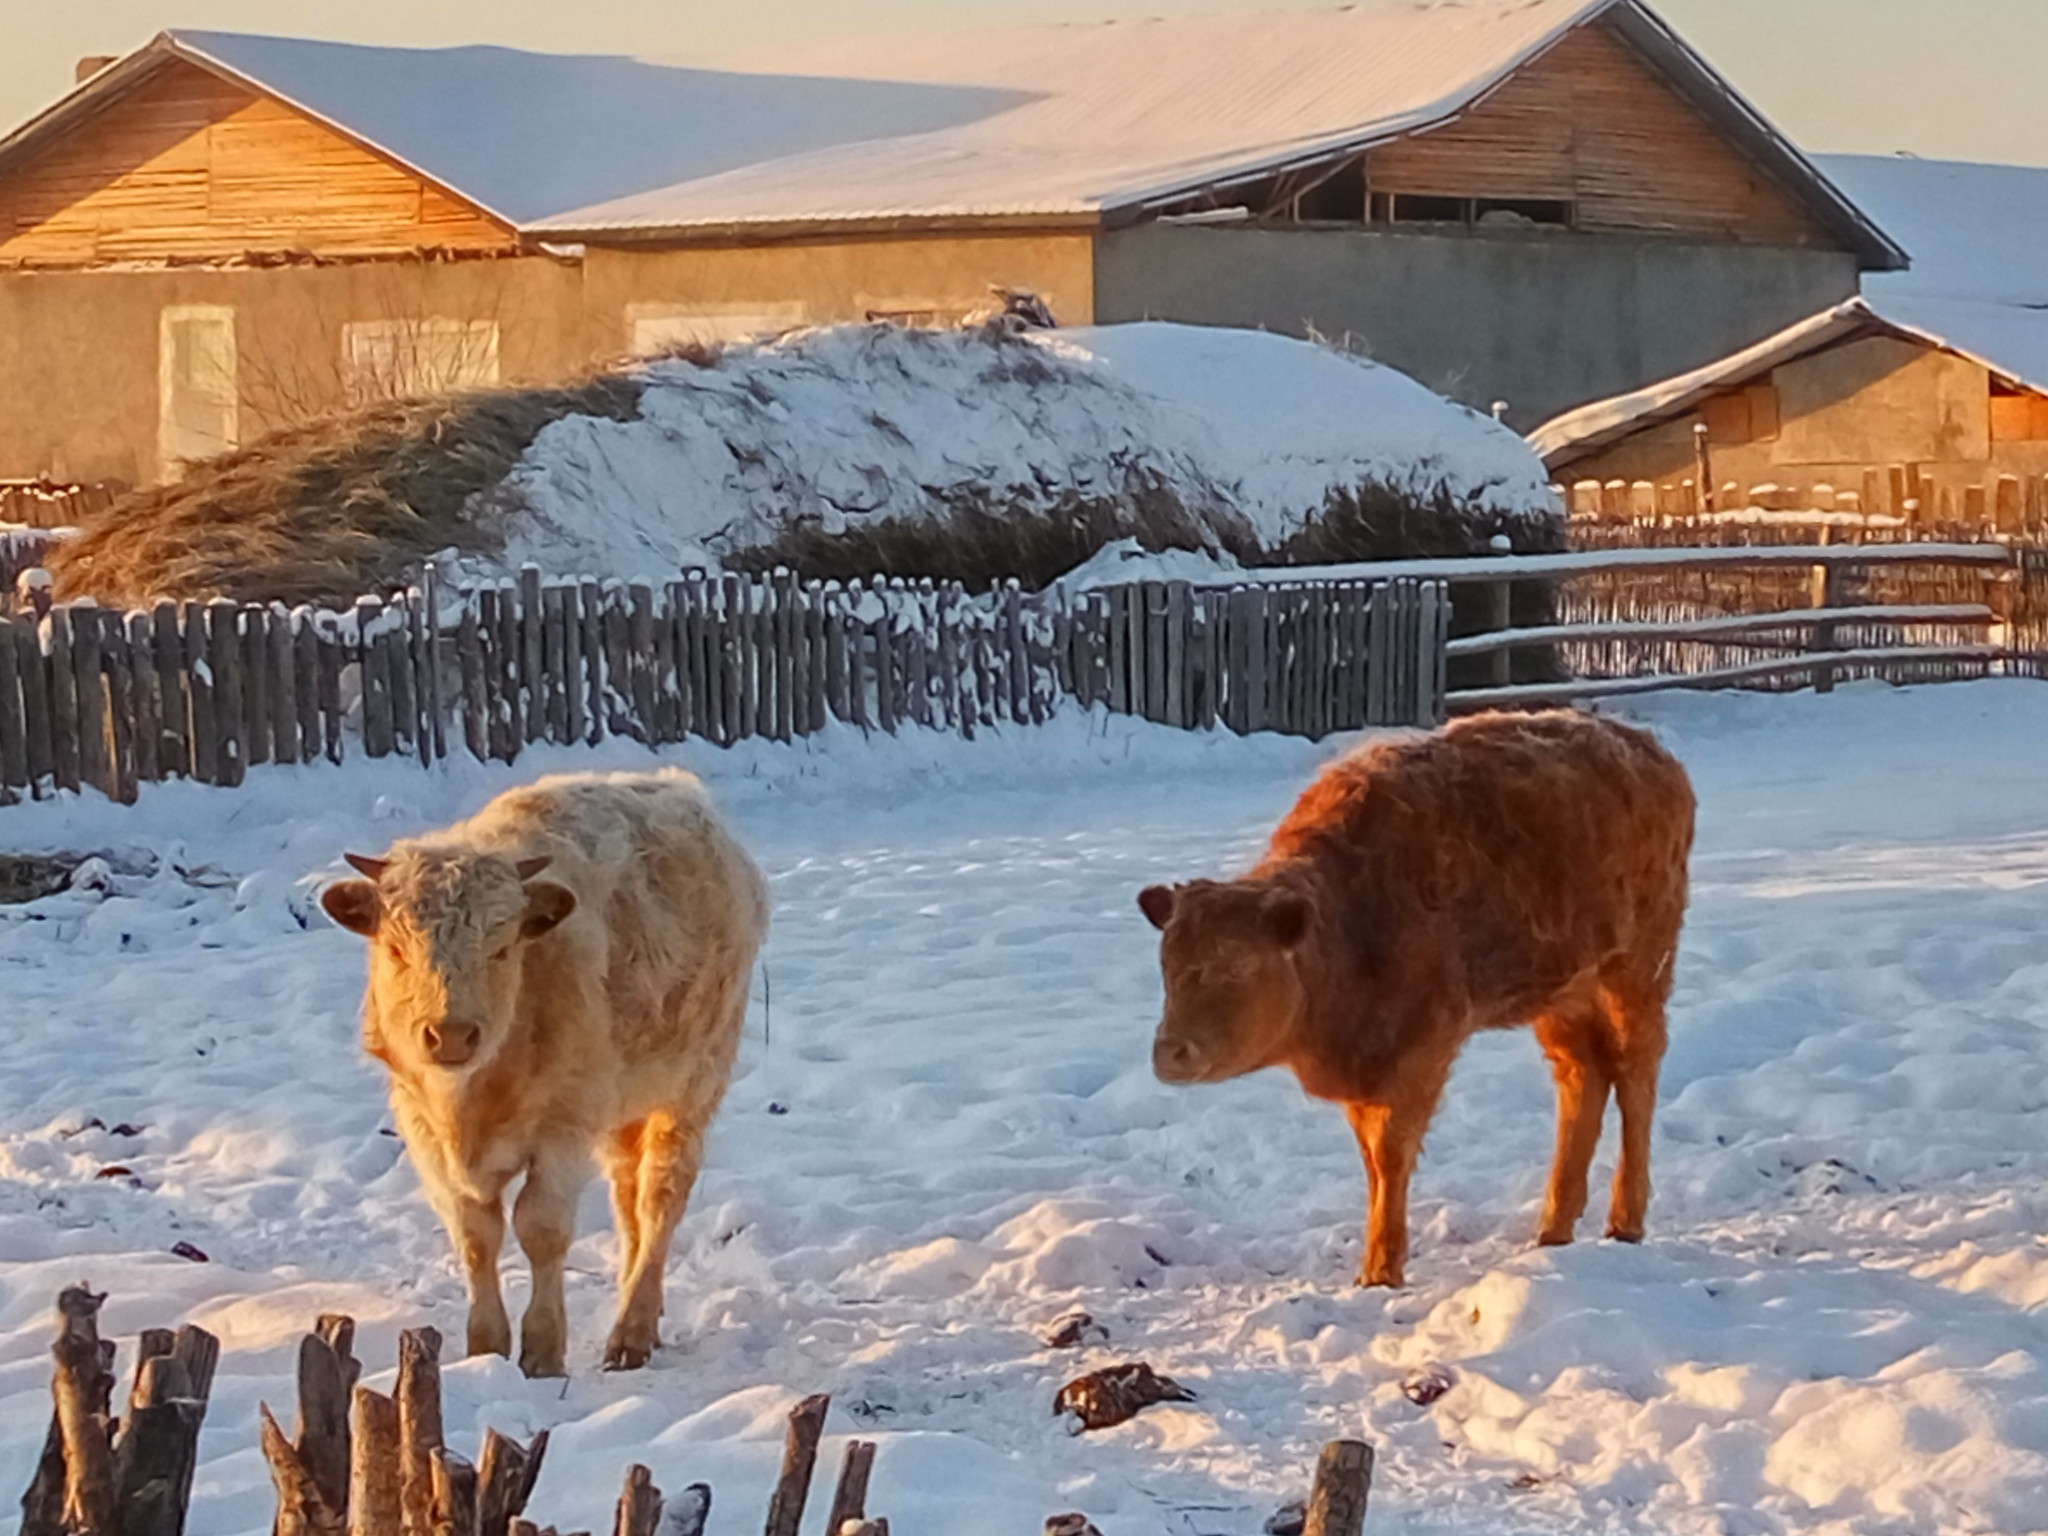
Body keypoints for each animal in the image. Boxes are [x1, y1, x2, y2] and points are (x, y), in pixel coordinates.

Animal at [319, 774, 770, 1376]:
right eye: (395, 948)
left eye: (502, 947)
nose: (451, 1034)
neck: (471, 1101)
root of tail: (676, 785)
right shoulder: (423, 1130)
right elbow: (476, 1236)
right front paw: (485, 1348)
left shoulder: (563, 1127)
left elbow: (541, 1229)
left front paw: (543, 1351)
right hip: (623, 1105)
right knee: (628, 1199)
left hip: (693, 1085)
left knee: (661, 1196)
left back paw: (632, 1329)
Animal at [1138, 716, 1695, 1294]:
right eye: (1167, 964)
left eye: (1238, 967)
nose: (1170, 1052)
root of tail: (1646, 748)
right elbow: (1370, 1158)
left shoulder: (1420, 1052)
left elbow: (1390, 1155)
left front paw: (1381, 1271)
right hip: (1564, 994)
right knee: (1583, 1076)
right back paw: (1553, 1229)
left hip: (1637, 972)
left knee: (1636, 1075)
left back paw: (1625, 1221)